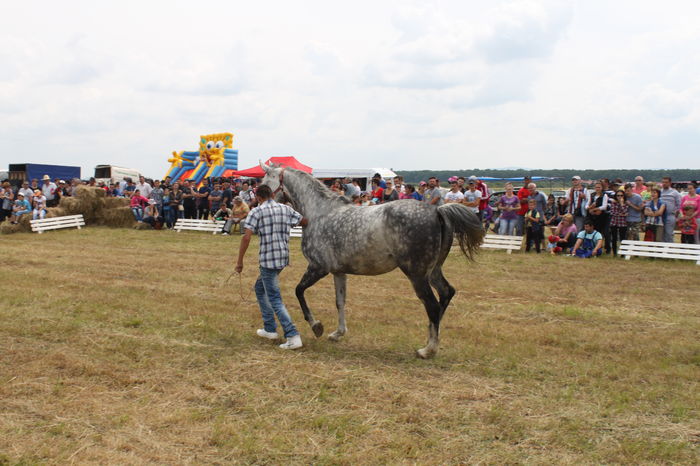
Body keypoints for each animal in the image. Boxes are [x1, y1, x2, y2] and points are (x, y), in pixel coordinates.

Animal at [260, 164, 484, 358]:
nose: (257, 201)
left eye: (264, 181)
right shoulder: (338, 272)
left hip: (417, 275)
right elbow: (340, 302)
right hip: (433, 272)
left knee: (433, 306)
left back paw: (428, 350)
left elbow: (299, 291)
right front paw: (337, 333)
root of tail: (436, 211)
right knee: (446, 294)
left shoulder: (318, 268)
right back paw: (432, 339)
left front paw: (316, 326)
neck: (320, 213)